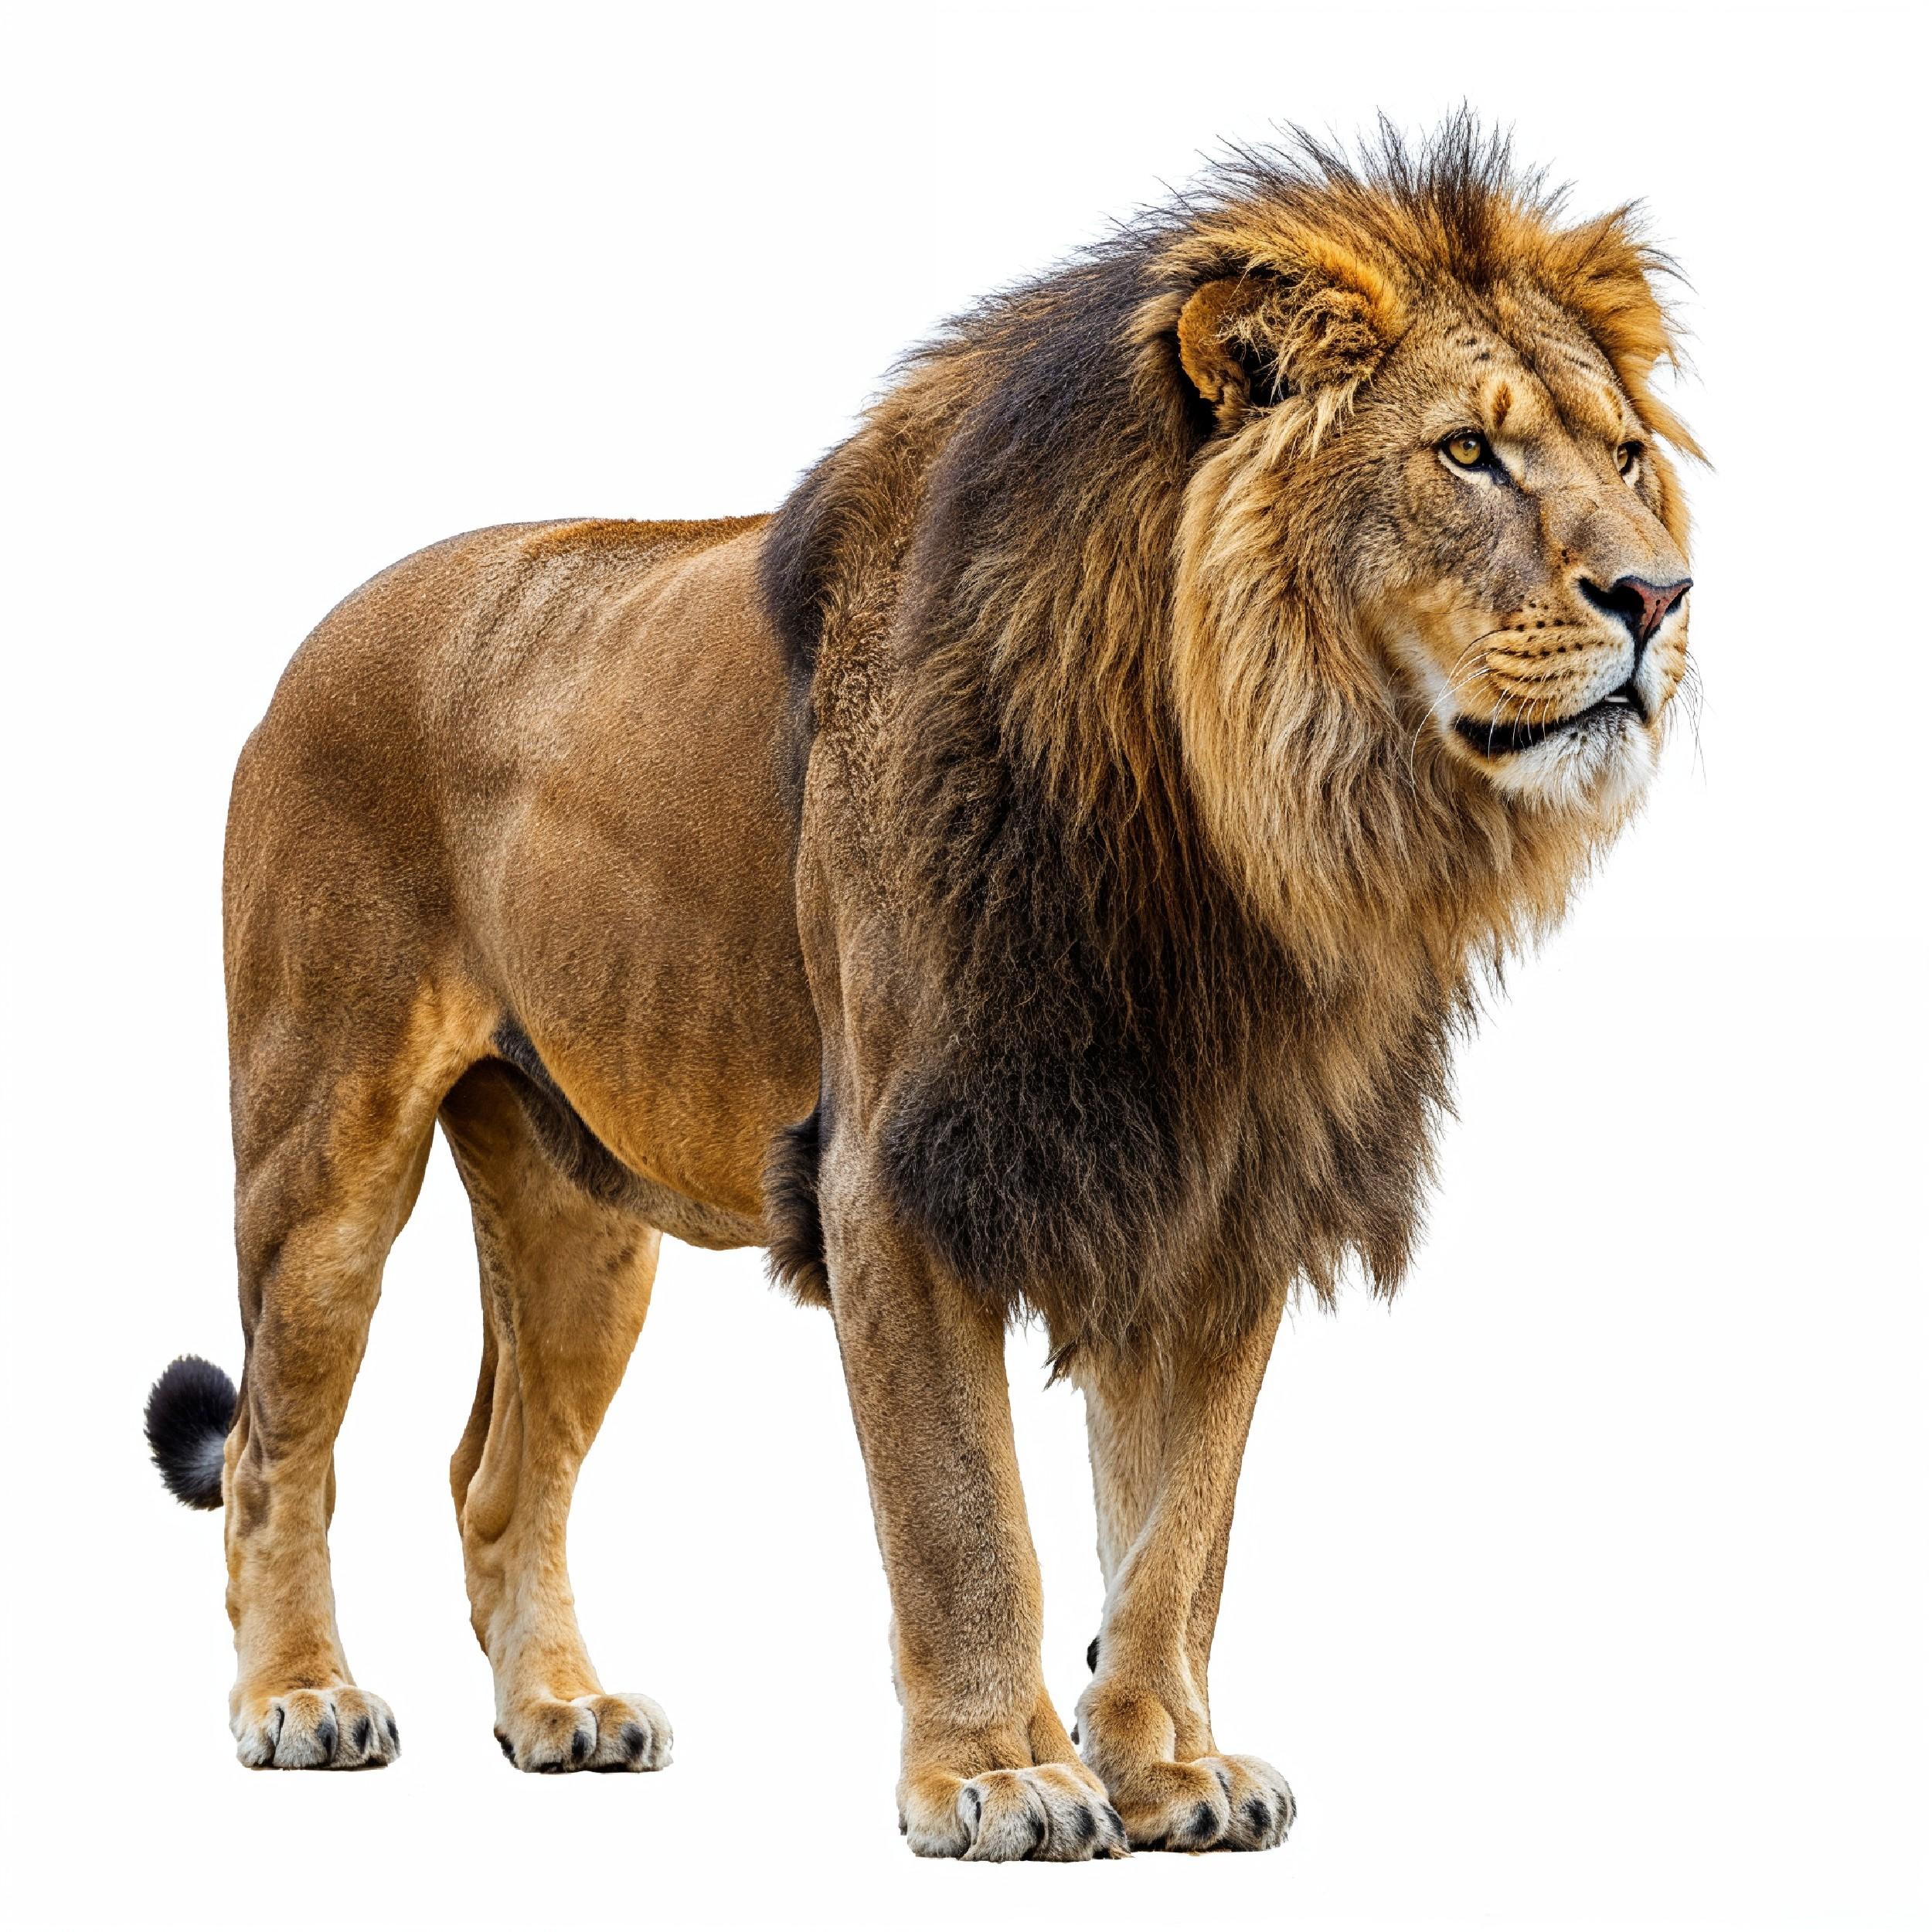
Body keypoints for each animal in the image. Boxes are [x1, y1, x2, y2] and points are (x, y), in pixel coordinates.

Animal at [144, 117, 1696, 1859]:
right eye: (1466, 454)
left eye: (1626, 456)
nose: (1657, 600)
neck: (1234, 836)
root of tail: (321, 635)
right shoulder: (893, 1176)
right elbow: (967, 1515)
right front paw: (1000, 1775)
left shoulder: (1222, 1191)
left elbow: (1179, 1533)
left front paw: (1166, 1768)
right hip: (323, 1146)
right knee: (276, 1448)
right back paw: (300, 1698)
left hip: (580, 1212)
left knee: (498, 1472)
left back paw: (560, 1710)